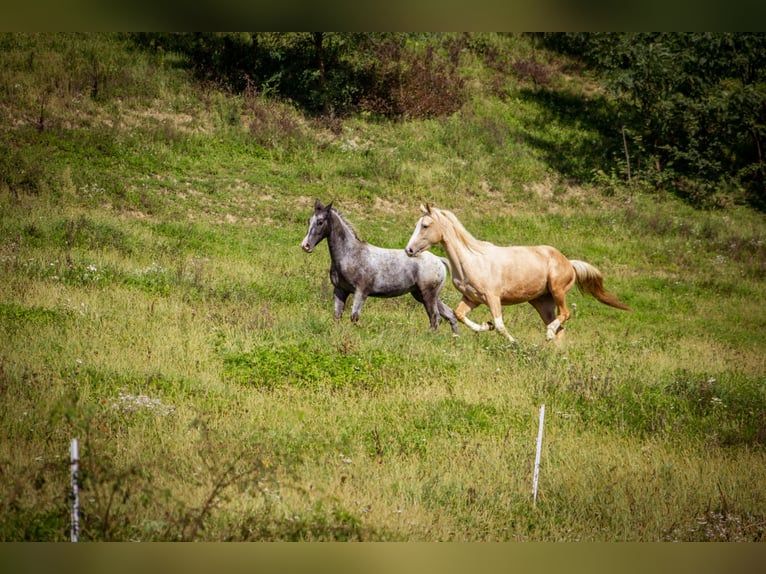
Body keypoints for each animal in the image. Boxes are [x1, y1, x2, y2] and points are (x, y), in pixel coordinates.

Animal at [301, 200, 459, 334]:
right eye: (309, 221)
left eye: (320, 222)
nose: (305, 246)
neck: (350, 254)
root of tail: (439, 260)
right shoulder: (340, 290)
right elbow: (337, 315)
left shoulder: (361, 292)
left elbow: (354, 317)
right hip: (424, 295)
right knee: (450, 315)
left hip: (428, 296)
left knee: (435, 318)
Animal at [404, 204, 630, 343]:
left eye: (425, 225)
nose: (409, 250)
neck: (472, 259)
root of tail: (569, 262)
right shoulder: (471, 298)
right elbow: (459, 315)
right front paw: (485, 326)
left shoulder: (493, 298)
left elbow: (500, 325)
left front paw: (514, 342)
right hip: (542, 302)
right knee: (561, 329)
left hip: (558, 291)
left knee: (565, 315)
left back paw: (548, 335)